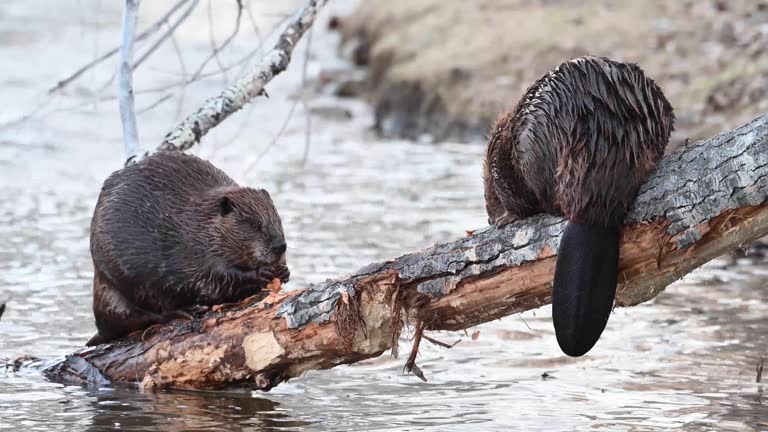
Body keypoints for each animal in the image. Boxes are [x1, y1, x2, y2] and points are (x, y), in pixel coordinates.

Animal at [86, 150, 292, 346]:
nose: (280, 246)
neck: (201, 221)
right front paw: (261, 273)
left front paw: (284, 271)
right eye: (254, 225)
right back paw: (186, 311)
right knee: (147, 313)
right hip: (121, 283)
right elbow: (216, 276)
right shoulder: (195, 250)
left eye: (278, 219)